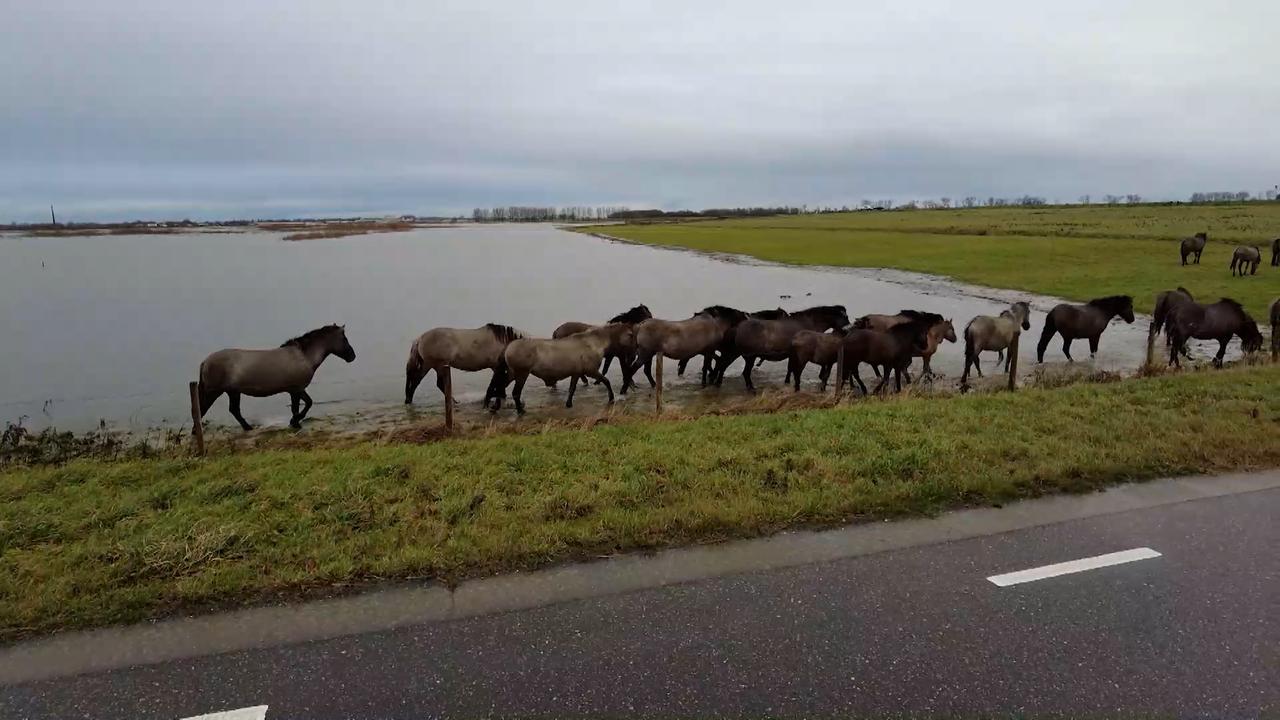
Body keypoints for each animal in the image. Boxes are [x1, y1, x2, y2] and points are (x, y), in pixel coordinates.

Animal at [197, 322, 355, 427]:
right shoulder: (296, 390)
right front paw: (295, 422)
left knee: (234, 410)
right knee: (202, 409)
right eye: (344, 339)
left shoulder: (297, 389)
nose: (352, 356)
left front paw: (295, 421)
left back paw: (248, 428)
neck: (304, 356)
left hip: (233, 392)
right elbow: (299, 406)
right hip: (213, 392)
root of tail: (205, 361)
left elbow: (306, 403)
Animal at [491, 322, 632, 412]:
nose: (633, 351)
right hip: (521, 374)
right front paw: (611, 398)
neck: (593, 342)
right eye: (630, 334)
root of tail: (508, 347)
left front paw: (568, 404)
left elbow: (572, 389)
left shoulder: (577, 373)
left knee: (500, 386)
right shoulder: (591, 371)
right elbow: (606, 381)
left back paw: (495, 407)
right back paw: (520, 410)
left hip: (512, 373)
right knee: (515, 392)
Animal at [721, 303, 849, 392]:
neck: (808, 323)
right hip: (749, 357)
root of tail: (738, 327)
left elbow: (790, 368)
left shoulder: (792, 355)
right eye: (846, 317)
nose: (848, 329)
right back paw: (751, 388)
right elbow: (794, 370)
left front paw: (787, 381)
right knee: (744, 373)